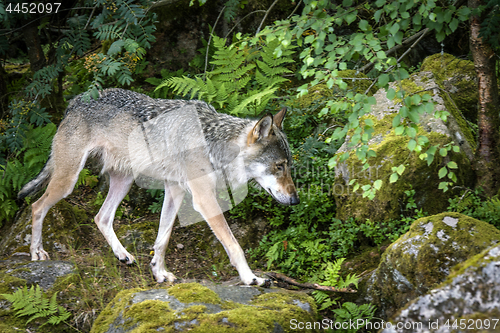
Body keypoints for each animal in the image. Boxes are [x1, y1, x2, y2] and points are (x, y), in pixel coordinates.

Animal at [19, 88, 298, 286]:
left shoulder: (175, 190)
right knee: (36, 206)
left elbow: (162, 240)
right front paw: (252, 278)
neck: (213, 144)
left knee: (101, 217)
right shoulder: (204, 199)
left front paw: (159, 273)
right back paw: (37, 253)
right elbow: (234, 245)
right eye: (279, 166)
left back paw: (123, 254)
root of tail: (76, 100)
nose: (295, 200)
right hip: (68, 181)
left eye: (288, 165)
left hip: (124, 182)